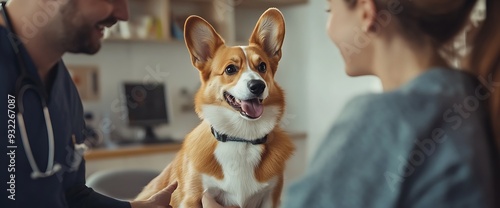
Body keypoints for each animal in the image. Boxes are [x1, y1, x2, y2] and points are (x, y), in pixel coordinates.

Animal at [135, 8, 294, 208]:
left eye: (262, 66)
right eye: (230, 69)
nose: (258, 86)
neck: (241, 138)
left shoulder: (271, 197)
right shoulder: (192, 198)